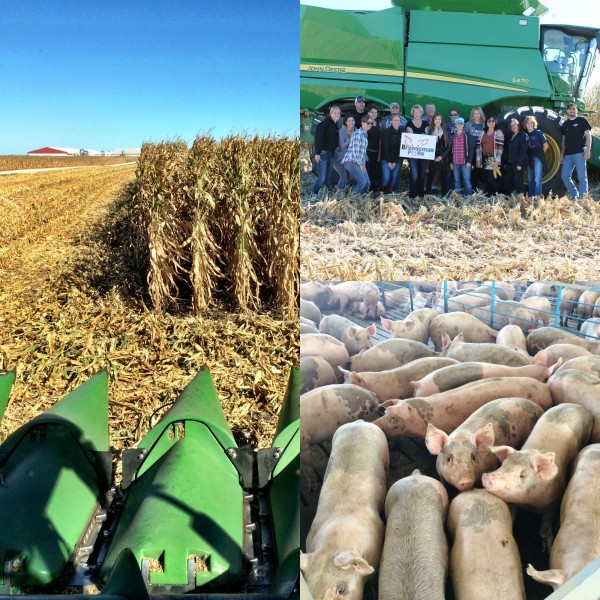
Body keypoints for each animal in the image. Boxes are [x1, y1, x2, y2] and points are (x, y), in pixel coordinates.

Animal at [480, 404, 592, 548]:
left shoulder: (553, 503)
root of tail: (579, 406)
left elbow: (545, 525)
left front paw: (548, 546)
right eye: (503, 465)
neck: (529, 504)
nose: (487, 477)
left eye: (522, 475)